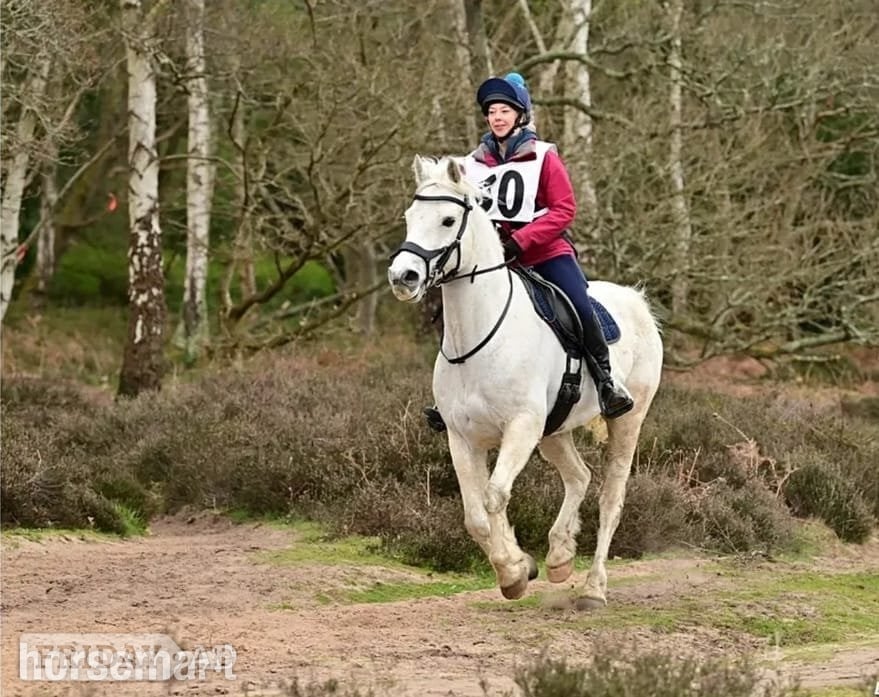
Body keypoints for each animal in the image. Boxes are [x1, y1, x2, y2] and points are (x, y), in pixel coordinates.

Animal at [387, 155, 664, 606]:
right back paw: (560, 556)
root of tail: (635, 300)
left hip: (627, 419)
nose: (403, 277)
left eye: (448, 220)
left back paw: (594, 588)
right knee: (579, 476)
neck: (479, 336)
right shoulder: (462, 437)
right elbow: (476, 516)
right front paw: (517, 569)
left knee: (611, 497)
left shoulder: (521, 427)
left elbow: (495, 496)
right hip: (555, 430)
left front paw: (515, 568)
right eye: (410, 217)